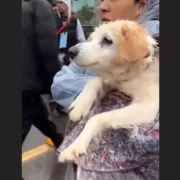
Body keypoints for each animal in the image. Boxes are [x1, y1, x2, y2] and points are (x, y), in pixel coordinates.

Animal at [58, 20, 159, 162]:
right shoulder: (115, 83)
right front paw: (80, 104)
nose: (71, 51)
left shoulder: (148, 106)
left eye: (107, 40)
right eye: (91, 38)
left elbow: (96, 118)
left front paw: (75, 145)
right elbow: (93, 81)